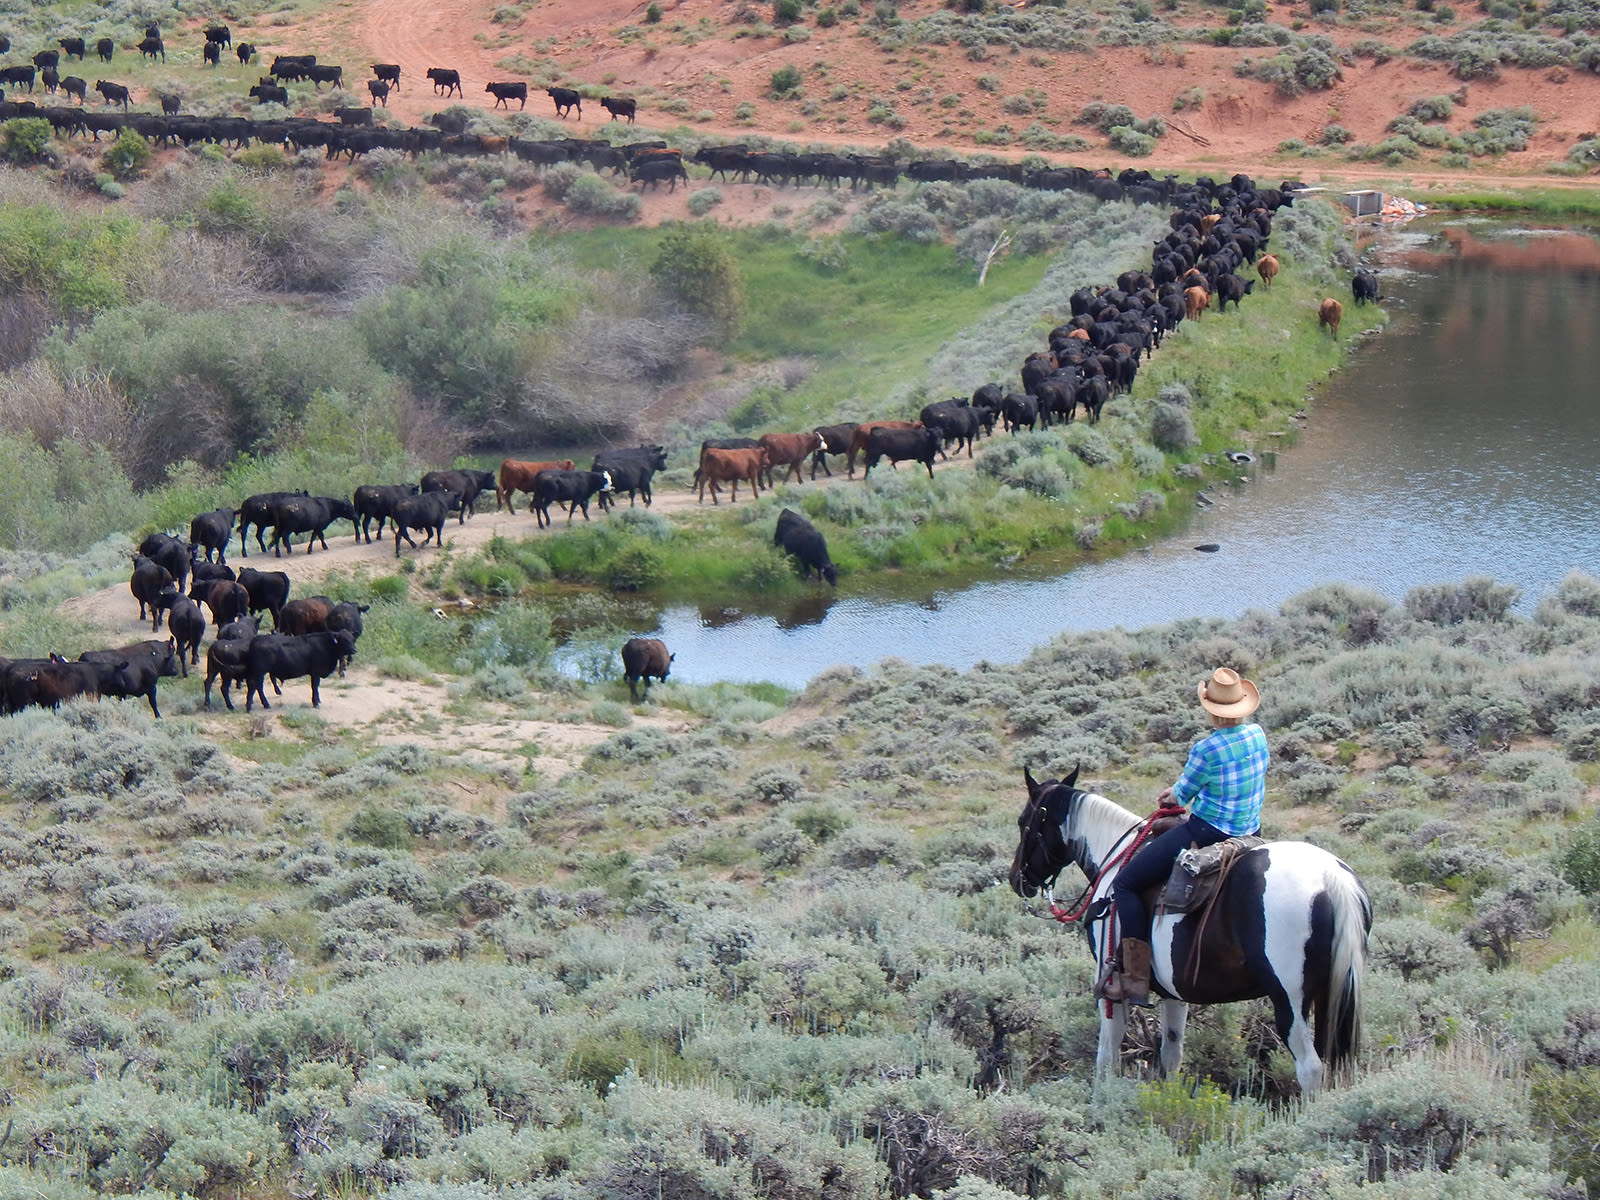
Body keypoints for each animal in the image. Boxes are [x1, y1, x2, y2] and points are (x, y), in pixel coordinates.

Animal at [1011, 771, 1363, 1100]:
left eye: (1023, 822)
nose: (1017, 879)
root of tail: (1330, 876)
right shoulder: (1174, 993)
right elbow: (1171, 1054)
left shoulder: (1110, 987)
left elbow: (1106, 1057)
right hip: (1329, 997)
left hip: (1289, 998)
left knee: (1311, 1068)